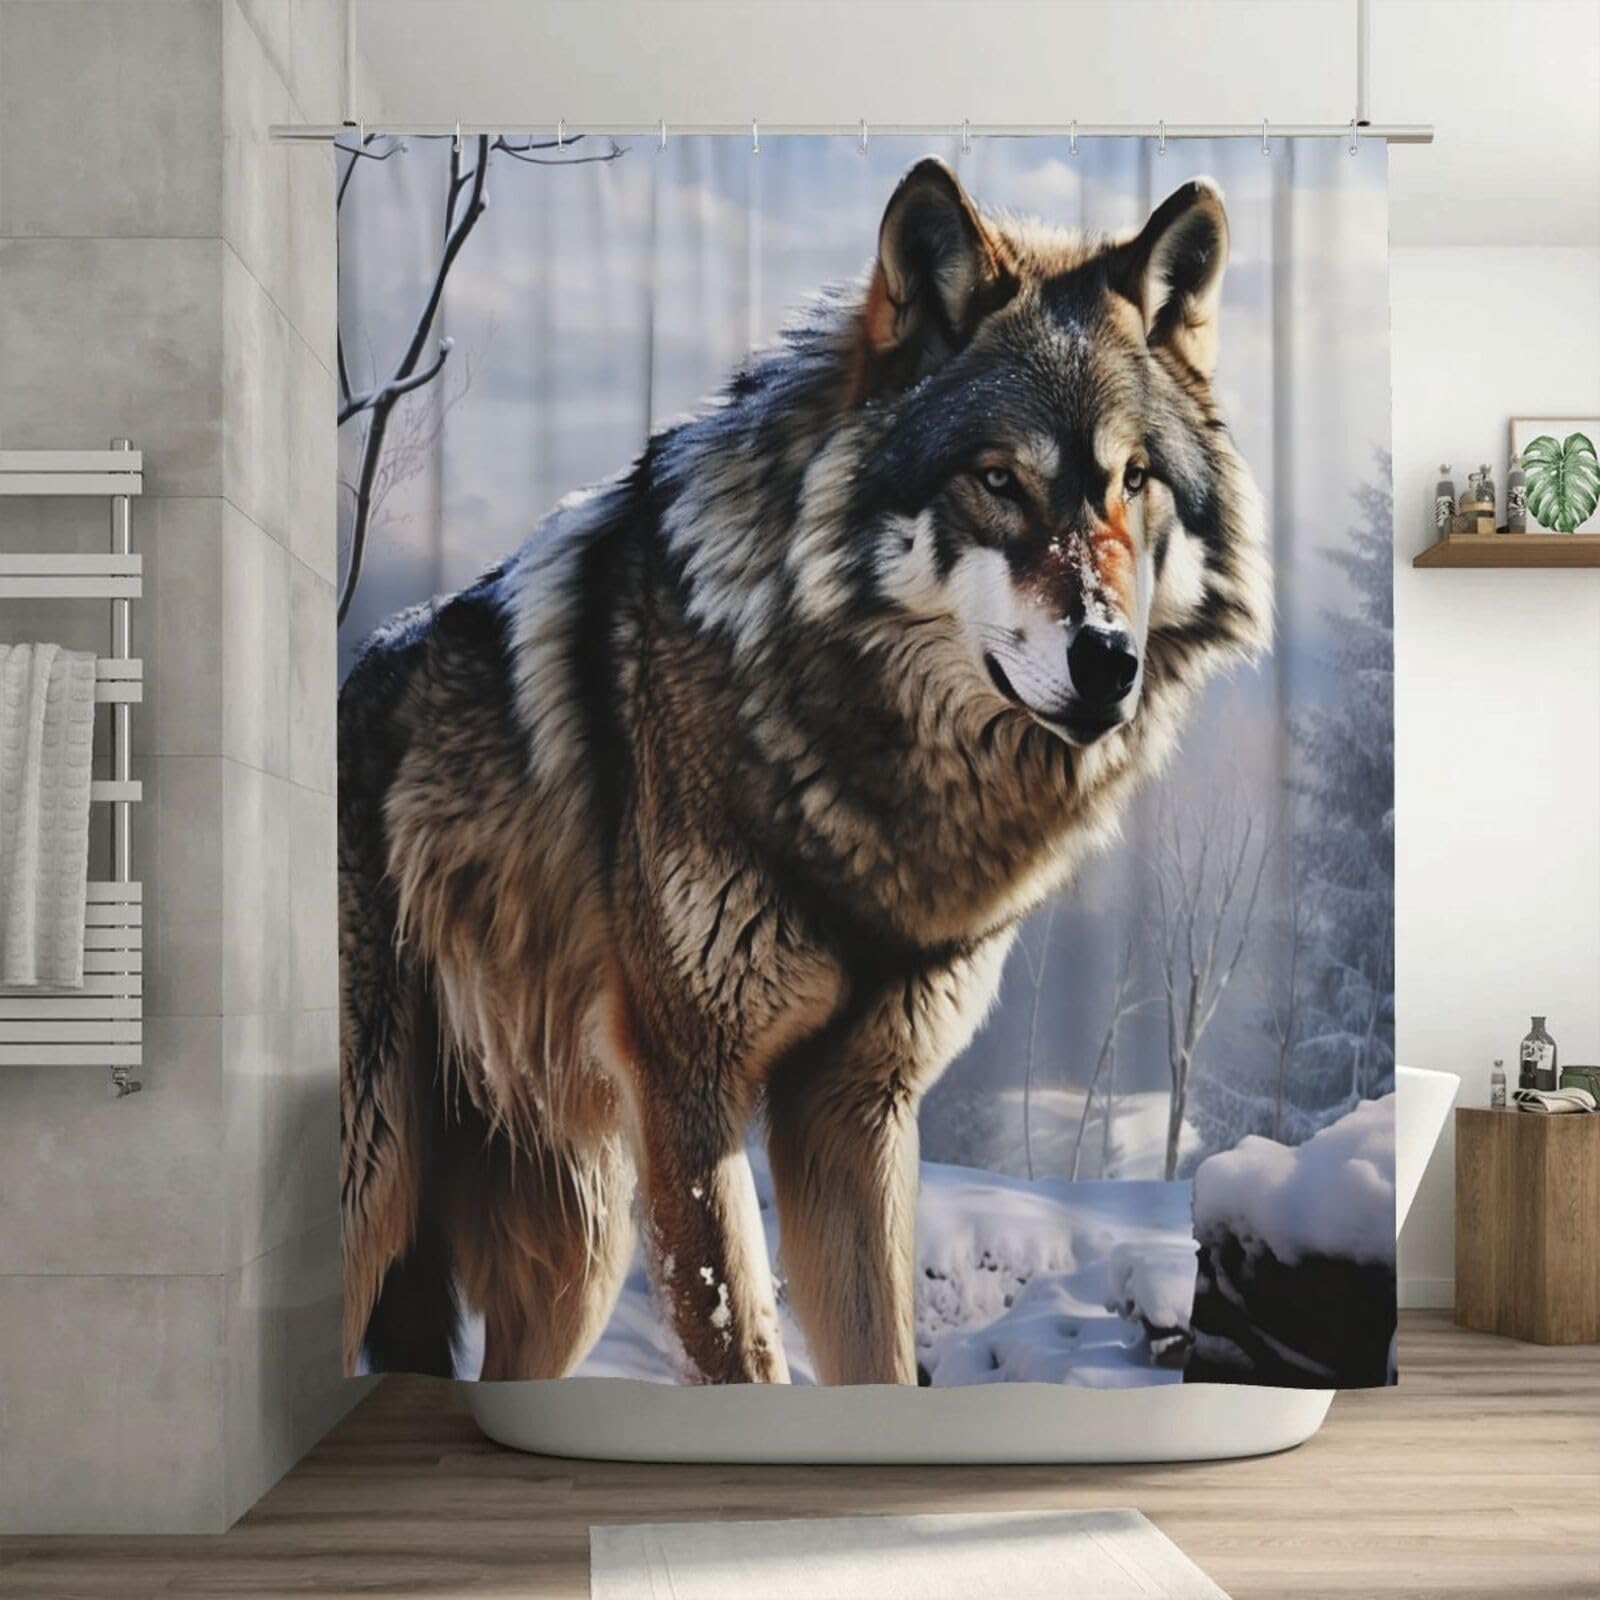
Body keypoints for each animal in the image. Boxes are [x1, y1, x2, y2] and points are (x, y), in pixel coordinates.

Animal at [339, 158, 1270, 1386]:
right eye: (996, 480)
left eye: (1133, 480)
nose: (1109, 660)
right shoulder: (688, 1082)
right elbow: (741, 1347)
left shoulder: (855, 1103)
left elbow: (879, 1353)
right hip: (383, 1180)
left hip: (576, 1255)